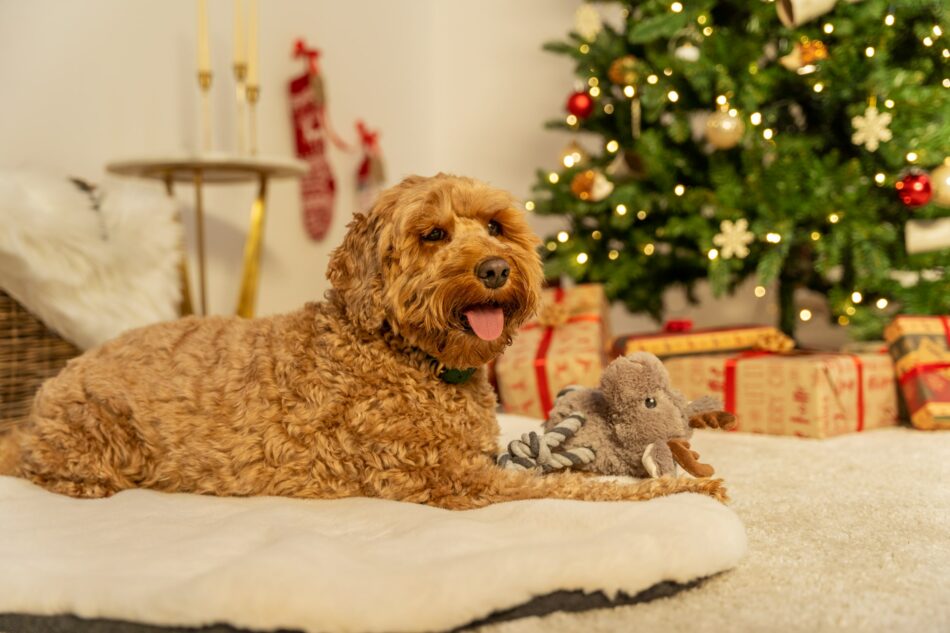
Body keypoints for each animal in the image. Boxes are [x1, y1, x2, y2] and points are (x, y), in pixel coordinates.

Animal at [3, 174, 724, 508]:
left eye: (495, 226)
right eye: (433, 234)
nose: (496, 269)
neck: (406, 355)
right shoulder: (450, 480)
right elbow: (574, 490)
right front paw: (684, 492)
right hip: (98, 436)